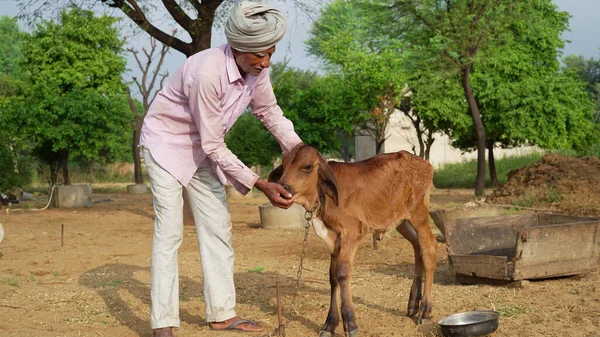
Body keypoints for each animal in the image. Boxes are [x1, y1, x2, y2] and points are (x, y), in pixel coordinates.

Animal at [268, 144, 436, 336]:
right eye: (284, 165)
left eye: (307, 167)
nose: (282, 188)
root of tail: (423, 163)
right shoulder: (334, 241)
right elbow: (332, 277)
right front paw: (329, 324)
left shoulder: (353, 232)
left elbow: (342, 272)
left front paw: (350, 323)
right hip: (401, 220)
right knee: (417, 245)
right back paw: (413, 304)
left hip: (419, 214)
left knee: (429, 249)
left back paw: (424, 310)